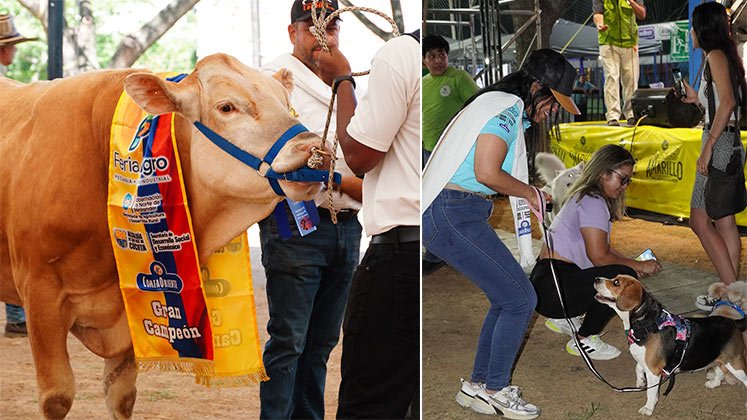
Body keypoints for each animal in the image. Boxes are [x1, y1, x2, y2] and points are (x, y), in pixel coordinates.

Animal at [0, 54, 328, 418]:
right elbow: (56, 397)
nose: (315, 149)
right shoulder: (40, 296)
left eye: (287, 104)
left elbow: (121, 395)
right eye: (226, 107)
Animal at [592, 274, 744, 416]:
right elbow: (638, 368)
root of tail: (733, 322)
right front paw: (641, 381)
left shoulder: (653, 370)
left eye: (616, 283)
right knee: (720, 371)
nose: (596, 279)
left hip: (736, 364)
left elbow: (651, 392)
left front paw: (648, 408)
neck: (645, 323)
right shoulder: (646, 362)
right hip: (722, 360)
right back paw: (713, 383)